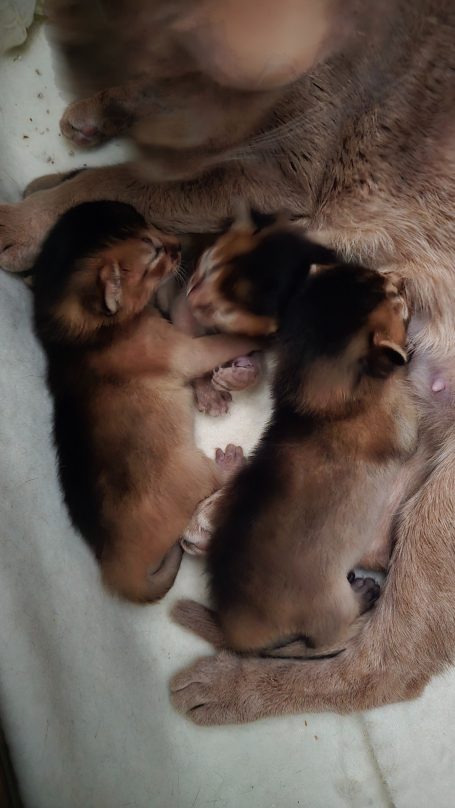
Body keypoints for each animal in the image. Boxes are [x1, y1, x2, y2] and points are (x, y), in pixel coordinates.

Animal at [31, 200, 257, 602]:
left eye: (150, 224)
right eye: (153, 255)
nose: (180, 245)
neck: (79, 337)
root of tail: (114, 567)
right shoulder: (186, 350)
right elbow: (219, 343)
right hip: (190, 470)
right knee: (213, 482)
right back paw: (230, 465)